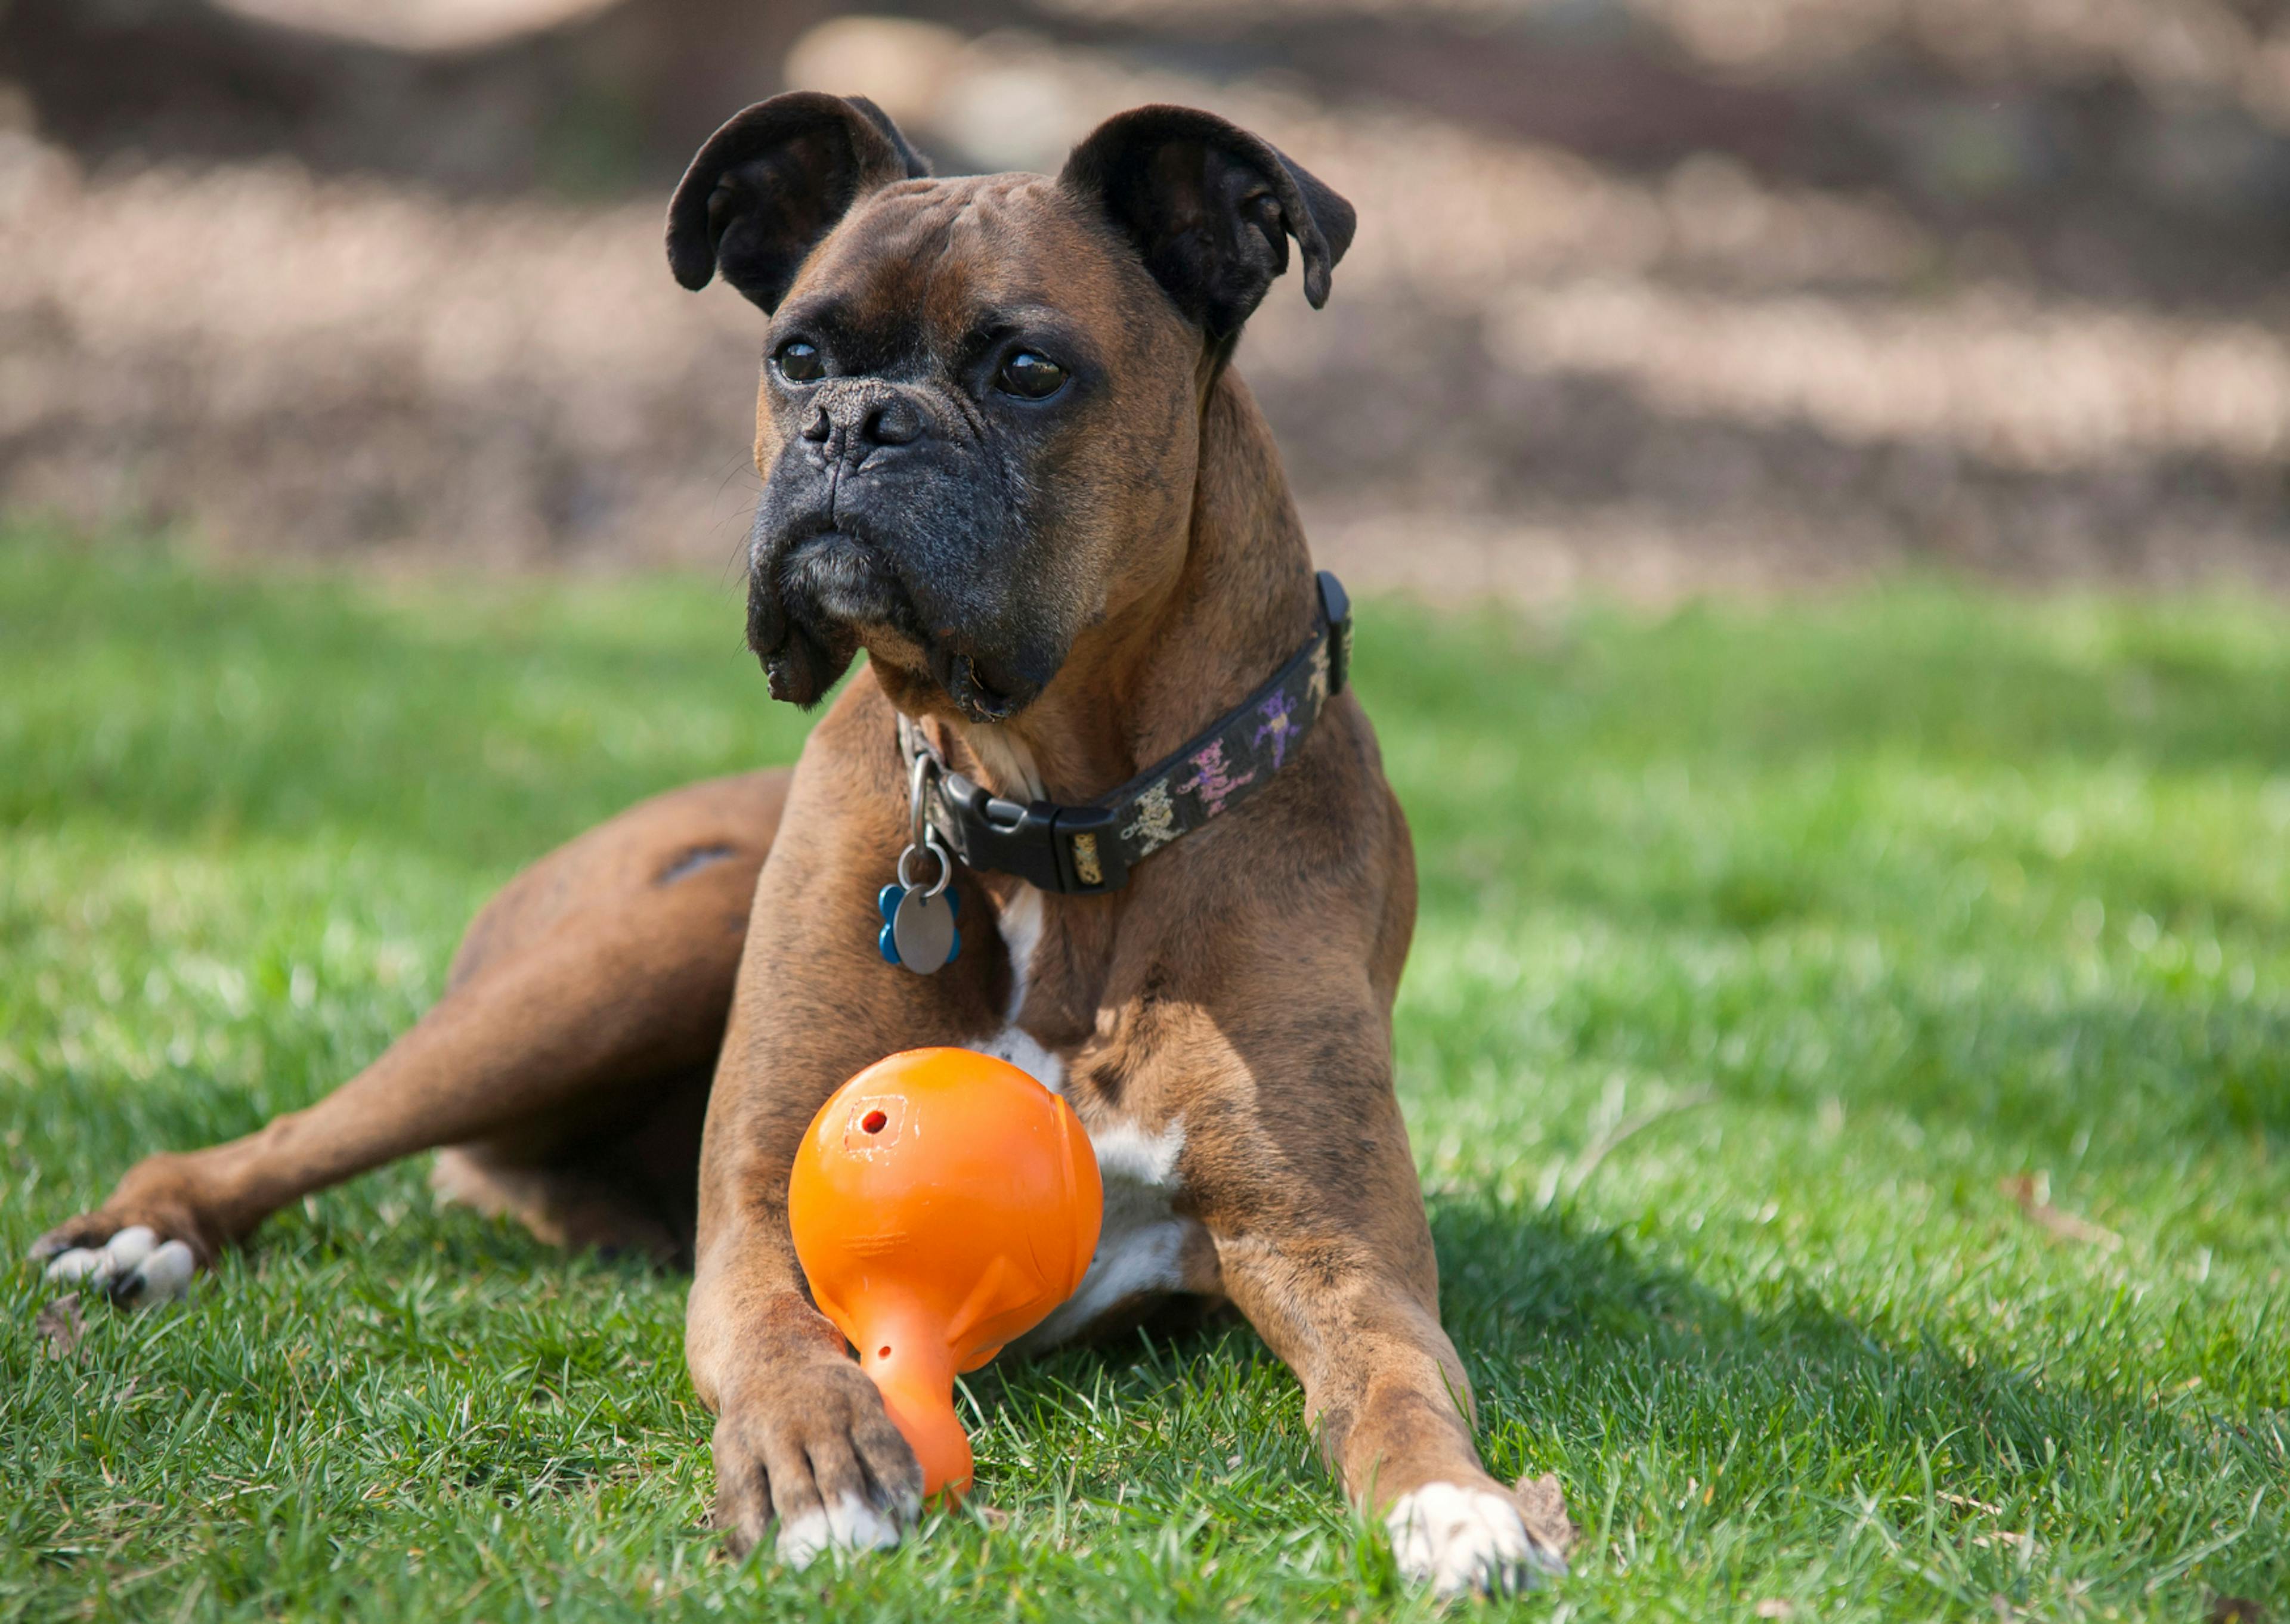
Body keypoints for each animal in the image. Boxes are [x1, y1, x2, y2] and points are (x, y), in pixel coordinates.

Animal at [31, 91, 1575, 1594]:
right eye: (796, 354)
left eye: (1028, 370)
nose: (856, 422)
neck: (1049, 824)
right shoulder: (763, 1216)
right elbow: (785, 1341)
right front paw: (815, 1465)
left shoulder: (1337, 1251)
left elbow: (1394, 1382)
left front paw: (1456, 1506)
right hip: (627, 960)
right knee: (286, 1135)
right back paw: (136, 1235)